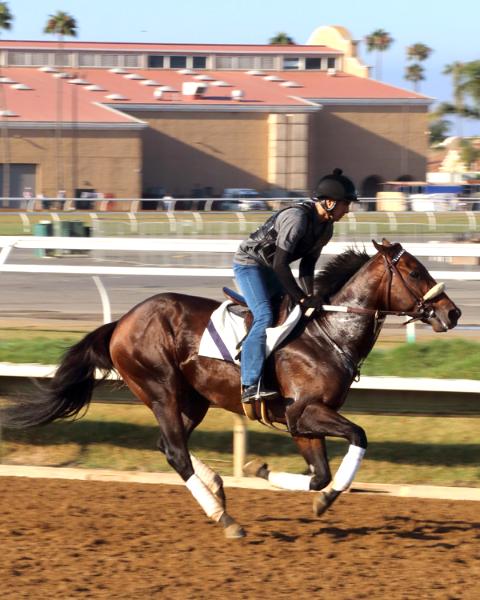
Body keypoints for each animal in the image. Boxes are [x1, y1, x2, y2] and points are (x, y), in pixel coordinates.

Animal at [0, 239, 462, 540]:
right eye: (415, 271)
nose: (453, 313)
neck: (329, 333)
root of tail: (122, 322)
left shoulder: (301, 423)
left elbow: (318, 476)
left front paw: (274, 477)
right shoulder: (304, 411)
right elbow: (358, 438)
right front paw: (318, 493)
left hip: (192, 400)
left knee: (170, 446)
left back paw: (219, 491)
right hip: (161, 389)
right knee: (175, 451)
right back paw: (225, 519)